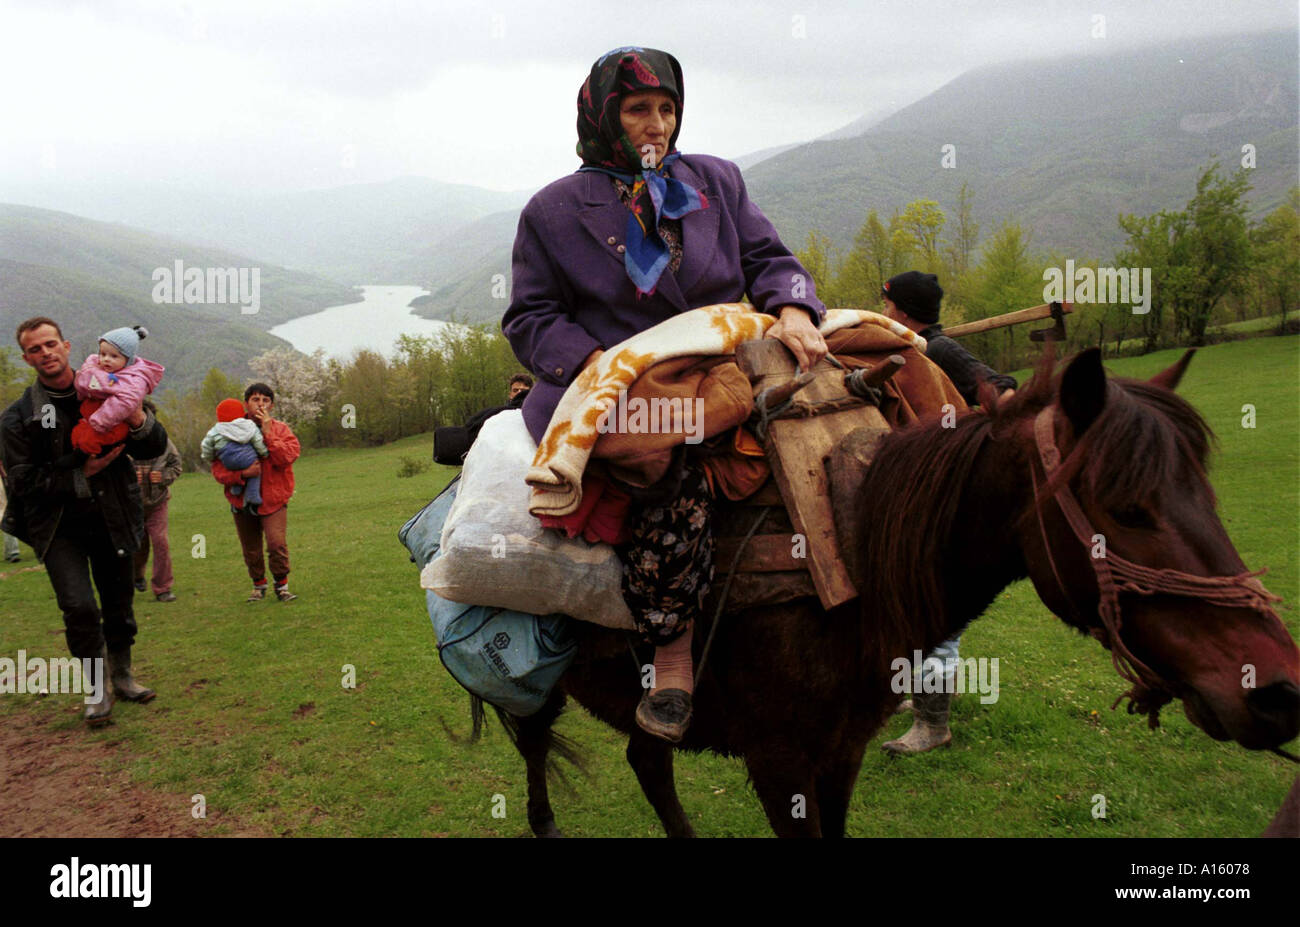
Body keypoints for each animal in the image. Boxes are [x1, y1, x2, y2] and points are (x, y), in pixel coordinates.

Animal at [488, 348, 1300, 837]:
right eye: (1127, 507)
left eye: (1207, 496)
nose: (1277, 691)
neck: (852, 553)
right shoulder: (777, 763)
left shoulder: (840, 752)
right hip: (532, 687)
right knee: (537, 747)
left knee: (648, 764)